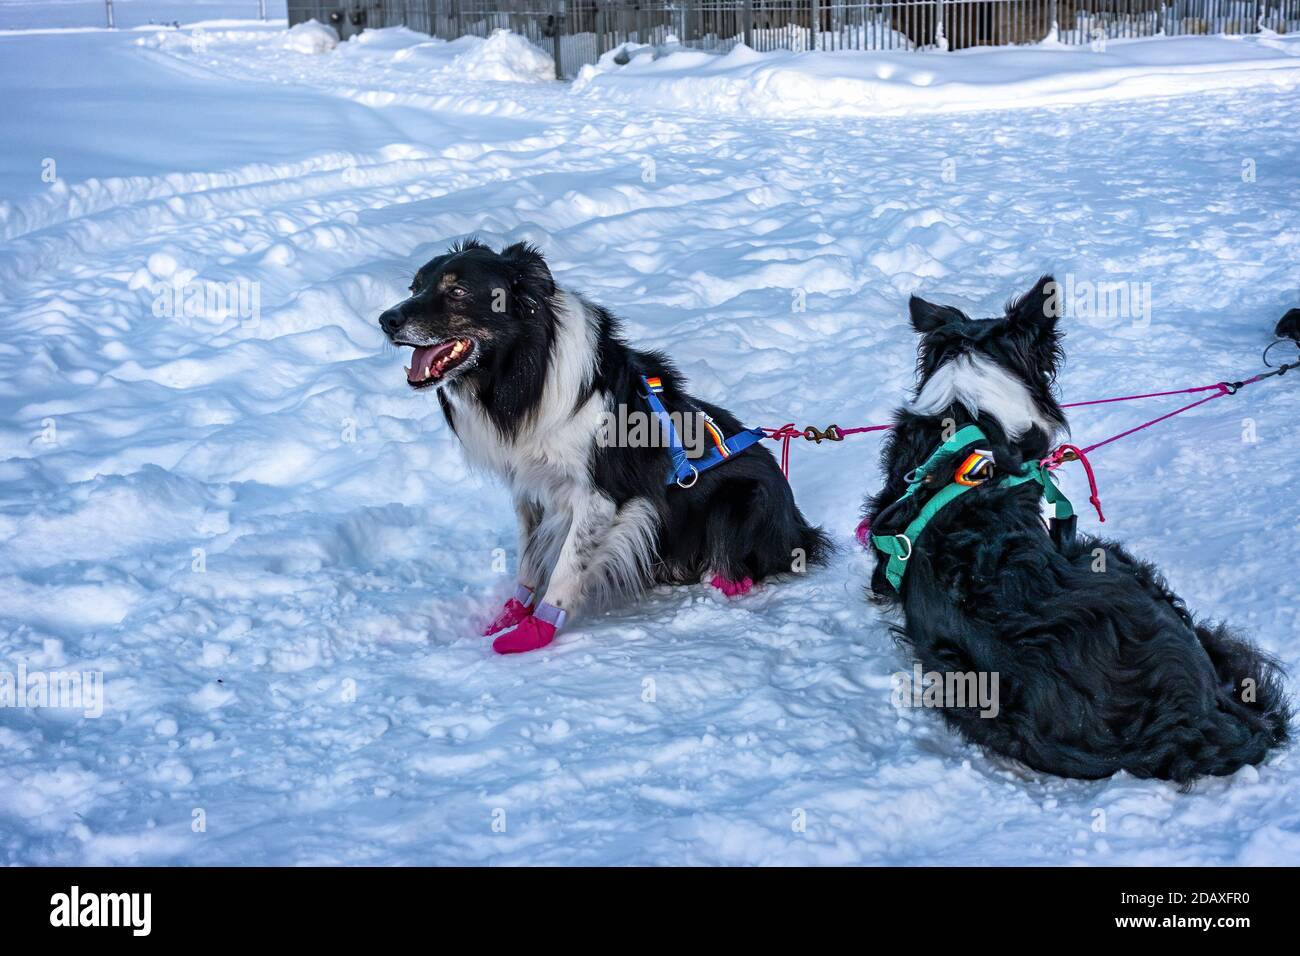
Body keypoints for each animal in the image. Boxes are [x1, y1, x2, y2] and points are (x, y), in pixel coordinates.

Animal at [377, 243, 826, 655]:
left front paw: (535, 631)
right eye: (415, 286)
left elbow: (565, 566)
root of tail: (801, 530)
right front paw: (511, 615)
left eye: (457, 291)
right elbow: (529, 559)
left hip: (743, 500)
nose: (386, 320)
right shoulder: (531, 488)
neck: (523, 370)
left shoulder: (600, 496)